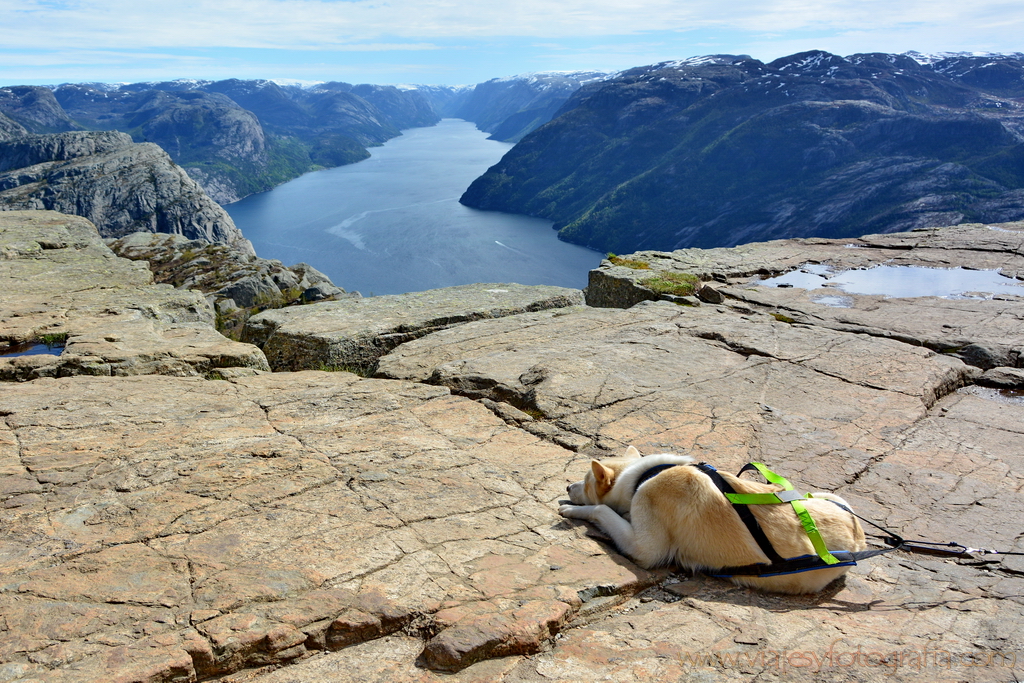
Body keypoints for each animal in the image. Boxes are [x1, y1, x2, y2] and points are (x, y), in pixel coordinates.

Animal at [561, 448, 864, 593]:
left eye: (586, 482)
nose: (567, 487)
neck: (643, 475)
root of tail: (859, 541)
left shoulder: (645, 550)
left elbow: (601, 509)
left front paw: (571, 510)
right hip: (824, 495)